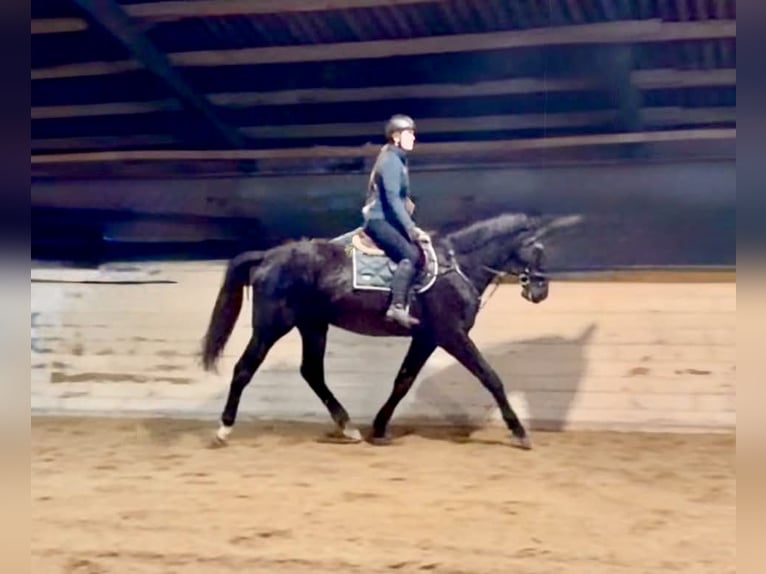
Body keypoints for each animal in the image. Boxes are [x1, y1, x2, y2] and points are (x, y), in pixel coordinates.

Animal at [200, 212, 581, 450]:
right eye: (537, 248)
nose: (540, 291)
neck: (457, 266)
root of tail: (268, 256)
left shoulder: (426, 338)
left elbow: (403, 380)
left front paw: (379, 428)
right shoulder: (451, 335)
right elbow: (491, 378)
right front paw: (519, 432)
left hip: (313, 326)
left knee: (312, 372)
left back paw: (349, 427)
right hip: (271, 326)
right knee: (244, 369)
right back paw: (223, 430)